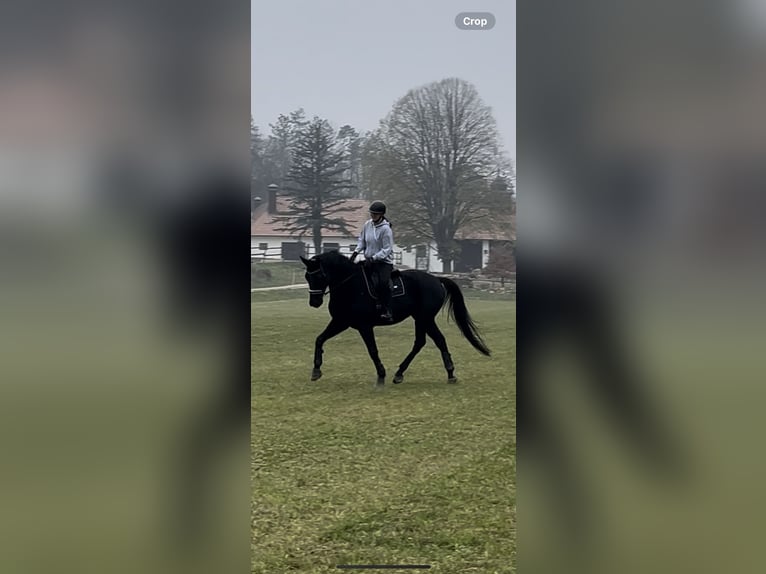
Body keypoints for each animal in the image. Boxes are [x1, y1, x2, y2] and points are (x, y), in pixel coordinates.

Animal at [300, 251, 492, 390]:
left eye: (319, 276)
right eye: (307, 277)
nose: (314, 302)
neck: (350, 286)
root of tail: (436, 279)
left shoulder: (364, 326)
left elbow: (373, 351)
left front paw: (381, 376)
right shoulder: (341, 322)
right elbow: (320, 339)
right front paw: (316, 370)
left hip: (424, 318)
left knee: (435, 340)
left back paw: (448, 374)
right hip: (421, 319)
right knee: (425, 341)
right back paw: (403, 373)